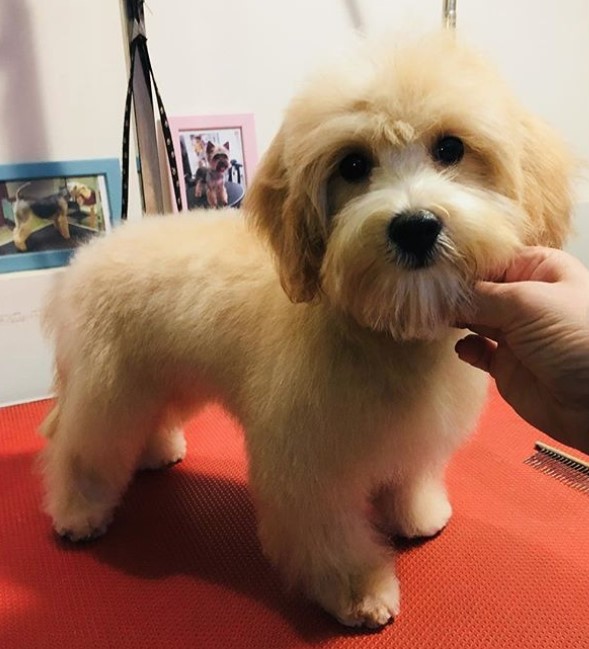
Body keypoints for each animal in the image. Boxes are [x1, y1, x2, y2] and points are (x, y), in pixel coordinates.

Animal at [40, 34, 568, 628]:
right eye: (353, 163)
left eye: (450, 148)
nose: (415, 226)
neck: (381, 331)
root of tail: (88, 255)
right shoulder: (308, 462)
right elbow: (329, 534)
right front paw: (360, 591)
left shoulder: (409, 435)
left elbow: (408, 476)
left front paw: (417, 515)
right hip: (108, 390)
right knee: (79, 449)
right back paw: (78, 511)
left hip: (157, 377)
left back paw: (157, 451)